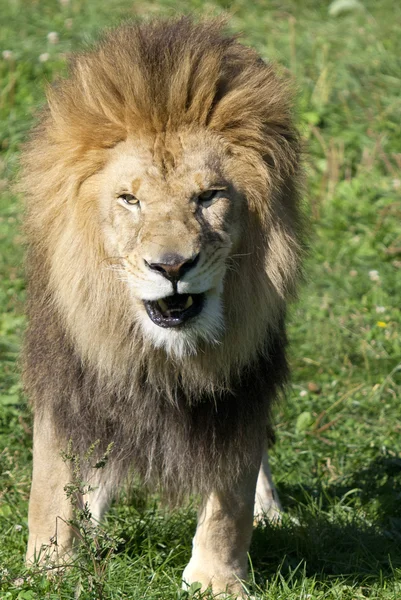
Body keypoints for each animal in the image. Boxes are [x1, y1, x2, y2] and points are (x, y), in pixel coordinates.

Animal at [18, 16, 300, 596]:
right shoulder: (68, 371)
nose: (171, 267)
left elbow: (230, 494)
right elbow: (52, 480)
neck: (162, 349)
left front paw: (217, 580)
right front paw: (48, 569)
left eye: (209, 196)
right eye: (130, 200)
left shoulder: (241, 381)